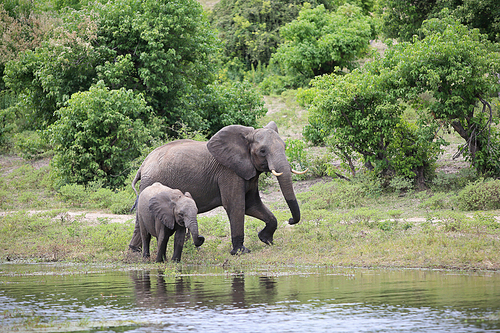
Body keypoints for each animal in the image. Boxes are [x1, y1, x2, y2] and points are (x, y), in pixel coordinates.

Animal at [128, 120, 304, 253]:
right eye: (262, 151)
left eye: (285, 147)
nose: (290, 220)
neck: (246, 137)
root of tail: (142, 165)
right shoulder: (229, 172)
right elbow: (235, 205)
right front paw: (241, 252)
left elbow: (251, 204)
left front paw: (265, 239)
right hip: (151, 182)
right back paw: (136, 252)